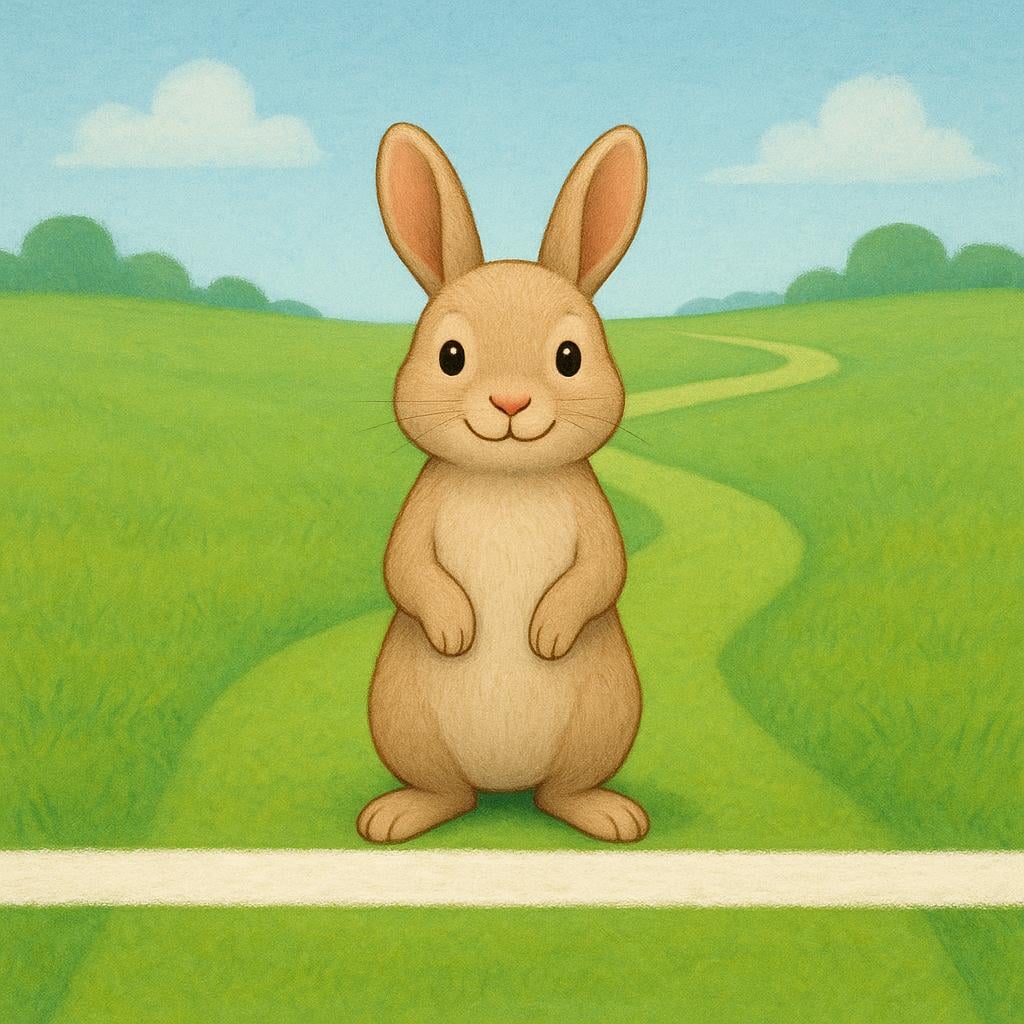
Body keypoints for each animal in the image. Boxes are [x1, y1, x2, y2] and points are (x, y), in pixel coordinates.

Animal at [357, 122, 648, 844]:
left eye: (569, 358)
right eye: (450, 356)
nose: (510, 402)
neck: (507, 482)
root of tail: (504, 788)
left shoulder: (595, 520)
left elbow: (603, 572)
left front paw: (547, 635)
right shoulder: (418, 513)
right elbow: (405, 569)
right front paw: (455, 632)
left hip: (604, 722)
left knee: (562, 791)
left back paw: (609, 816)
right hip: (405, 724)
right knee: (447, 792)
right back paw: (397, 816)